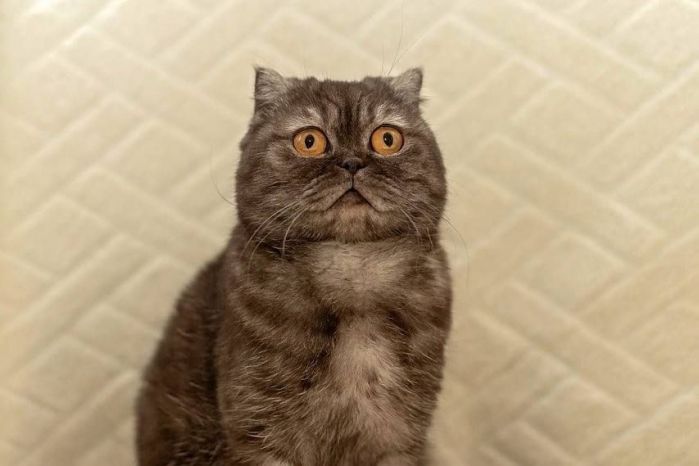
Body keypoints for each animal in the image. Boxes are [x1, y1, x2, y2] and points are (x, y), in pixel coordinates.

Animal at [136, 67, 452, 466]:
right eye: (309, 141)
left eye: (387, 138)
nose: (352, 162)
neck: (351, 269)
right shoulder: (261, 430)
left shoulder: (400, 434)